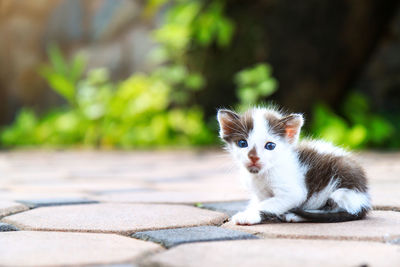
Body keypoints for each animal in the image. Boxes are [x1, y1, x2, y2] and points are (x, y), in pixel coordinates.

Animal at [217, 106, 370, 224]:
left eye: (270, 146)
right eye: (242, 143)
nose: (254, 157)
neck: (262, 174)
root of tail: (364, 200)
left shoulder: (294, 193)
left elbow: (267, 204)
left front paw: (248, 215)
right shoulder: (259, 193)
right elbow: (260, 201)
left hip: (341, 192)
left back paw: (295, 215)